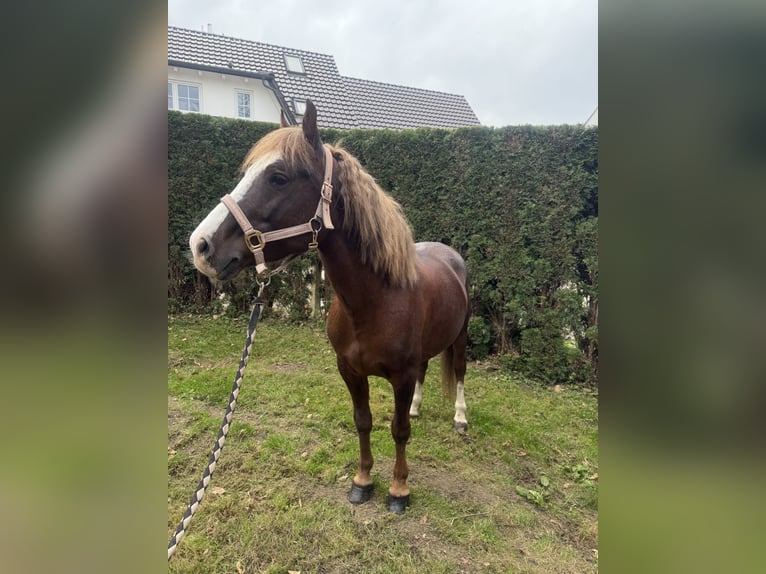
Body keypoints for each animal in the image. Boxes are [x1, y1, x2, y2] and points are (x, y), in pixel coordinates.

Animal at [189, 100, 470, 513]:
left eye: (278, 177)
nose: (200, 245)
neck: (373, 302)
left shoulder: (400, 375)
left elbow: (399, 430)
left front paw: (398, 489)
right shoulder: (349, 371)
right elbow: (363, 421)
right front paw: (363, 481)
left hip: (461, 337)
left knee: (460, 373)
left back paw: (461, 418)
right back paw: (418, 406)